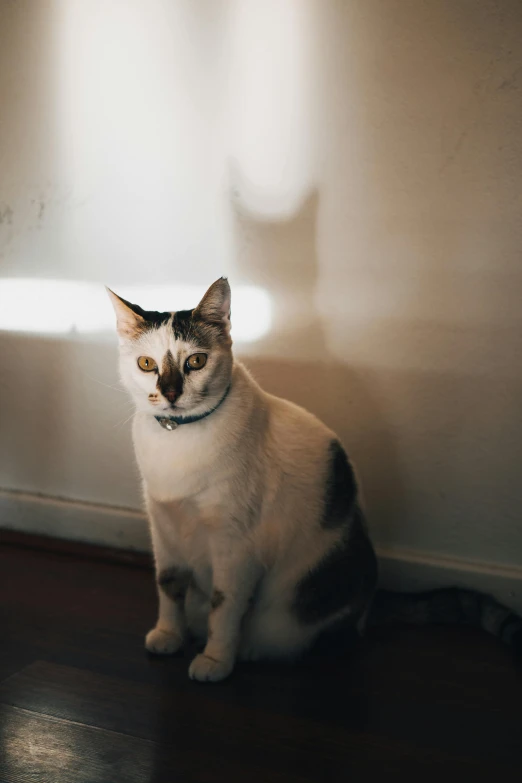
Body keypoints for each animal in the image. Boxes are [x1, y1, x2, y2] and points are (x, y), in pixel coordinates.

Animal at [108, 280, 520, 680]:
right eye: (146, 364)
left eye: (196, 361)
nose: (170, 393)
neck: (178, 438)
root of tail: (369, 604)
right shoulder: (165, 528)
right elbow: (168, 587)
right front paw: (169, 635)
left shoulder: (235, 547)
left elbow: (224, 607)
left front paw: (216, 660)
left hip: (296, 609)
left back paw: (250, 650)